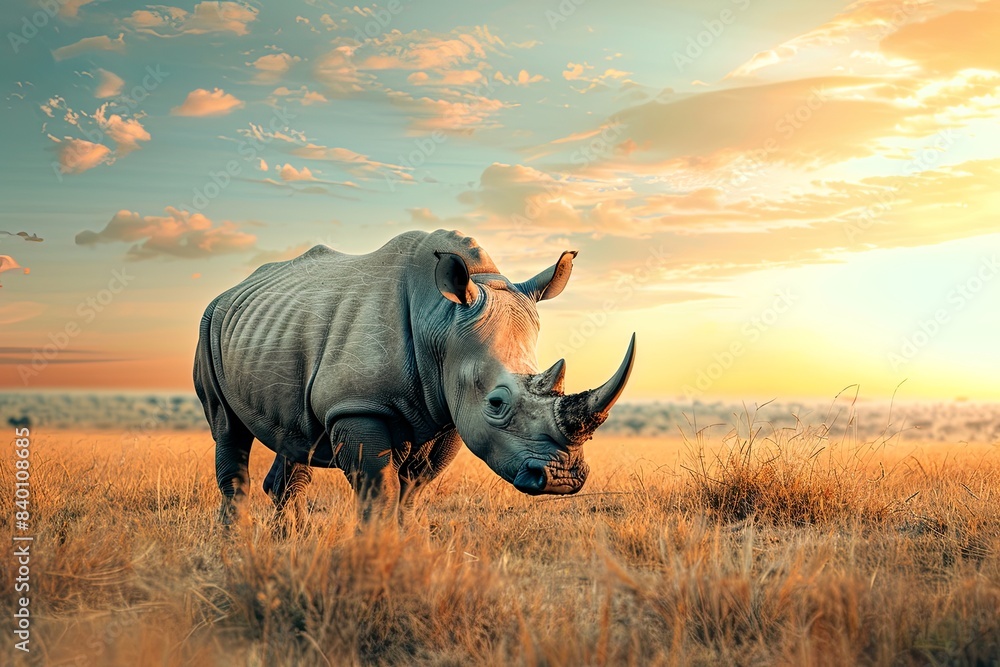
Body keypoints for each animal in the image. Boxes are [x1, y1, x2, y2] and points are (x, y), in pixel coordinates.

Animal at [194, 229, 636, 524]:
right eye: (496, 403)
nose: (562, 478)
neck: (440, 321)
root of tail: (233, 290)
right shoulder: (357, 407)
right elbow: (379, 491)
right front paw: (374, 560)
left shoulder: (447, 413)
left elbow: (411, 492)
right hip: (209, 323)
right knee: (228, 429)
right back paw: (238, 551)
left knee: (295, 437)